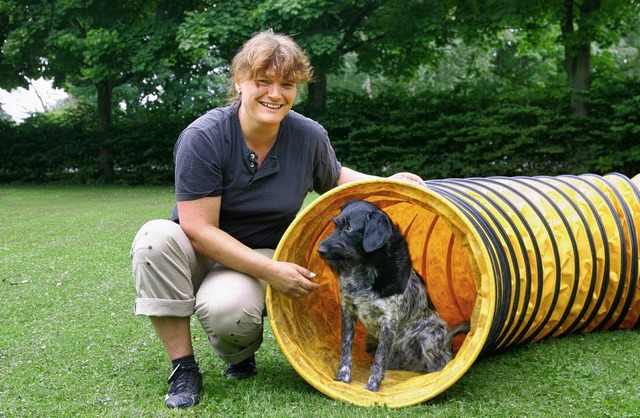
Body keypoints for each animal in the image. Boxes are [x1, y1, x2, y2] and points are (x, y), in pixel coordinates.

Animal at [316, 199, 470, 392]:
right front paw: (342, 378)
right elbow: (346, 349)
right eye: (335, 225)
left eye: (349, 228)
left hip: (429, 334)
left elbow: (379, 360)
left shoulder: (389, 321)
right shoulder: (348, 311)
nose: (320, 250)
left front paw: (372, 387)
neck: (366, 266)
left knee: (441, 362)